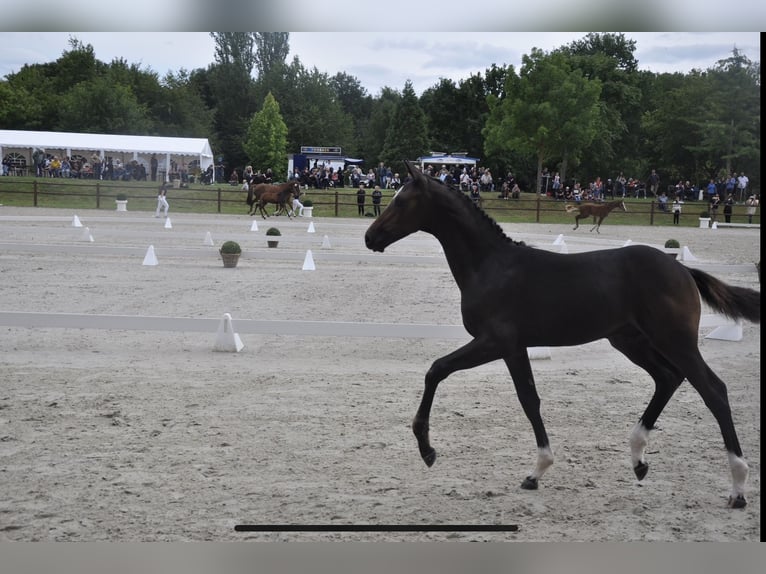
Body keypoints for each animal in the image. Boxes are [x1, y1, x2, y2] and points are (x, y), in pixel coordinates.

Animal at [366, 160, 760, 510]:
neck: (491, 266)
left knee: (713, 390)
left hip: (674, 340)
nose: (370, 237)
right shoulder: (514, 347)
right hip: (630, 341)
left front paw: (428, 450)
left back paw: (738, 488)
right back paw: (638, 460)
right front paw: (535, 473)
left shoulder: (497, 342)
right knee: (668, 378)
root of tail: (682, 269)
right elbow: (528, 398)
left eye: (401, 201)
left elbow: (441, 371)